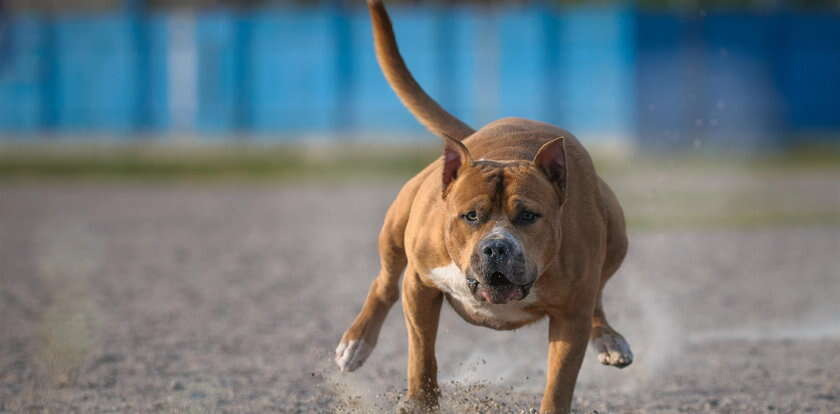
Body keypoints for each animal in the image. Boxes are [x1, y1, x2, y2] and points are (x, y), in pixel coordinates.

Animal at [334, 1, 632, 412]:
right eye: (470, 216)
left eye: (529, 216)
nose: (496, 248)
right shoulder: (419, 285)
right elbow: (421, 354)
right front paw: (420, 400)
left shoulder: (571, 315)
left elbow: (559, 383)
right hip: (395, 227)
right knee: (384, 284)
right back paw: (356, 342)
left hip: (616, 235)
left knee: (599, 293)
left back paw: (608, 338)